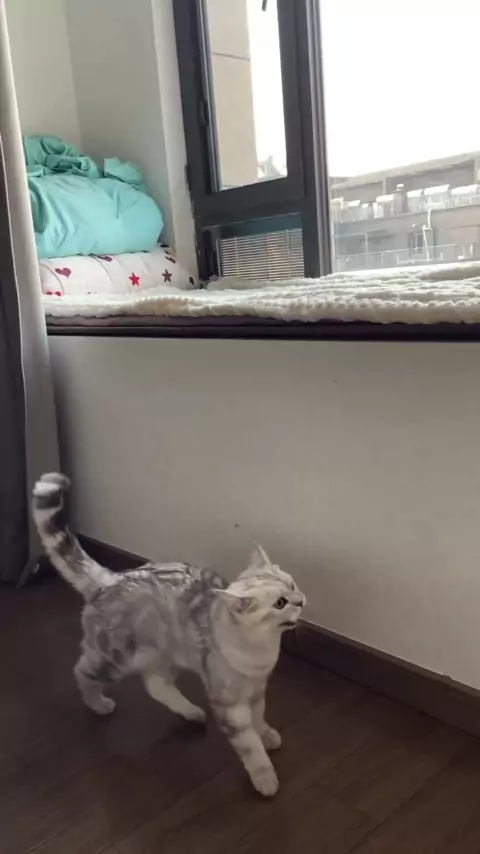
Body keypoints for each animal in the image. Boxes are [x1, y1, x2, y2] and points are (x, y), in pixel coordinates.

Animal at [32, 472, 306, 797]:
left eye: (292, 585)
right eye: (280, 603)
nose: (301, 601)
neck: (260, 653)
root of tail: (111, 579)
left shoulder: (255, 691)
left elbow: (260, 719)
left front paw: (267, 734)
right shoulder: (230, 704)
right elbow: (249, 745)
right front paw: (264, 776)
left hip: (165, 656)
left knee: (156, 685)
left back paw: (191, 712)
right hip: (115, 659)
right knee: (82, 671)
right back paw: (98, 705)